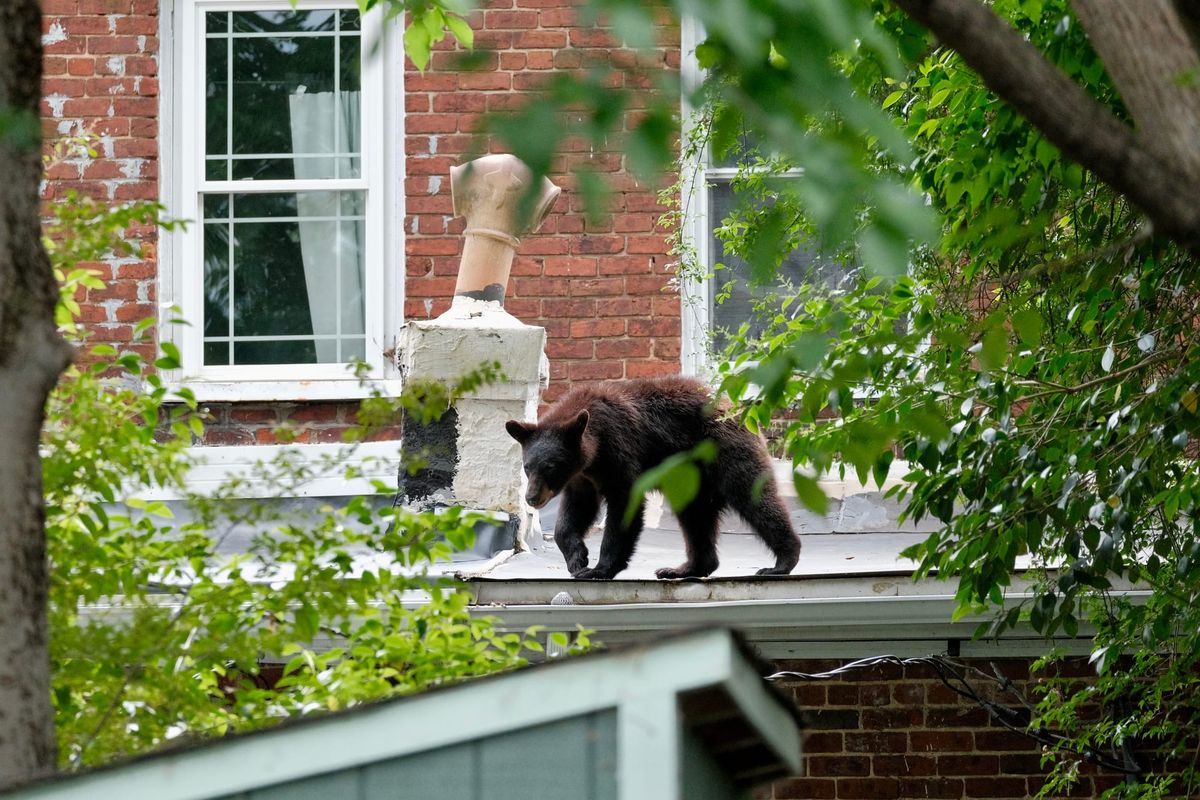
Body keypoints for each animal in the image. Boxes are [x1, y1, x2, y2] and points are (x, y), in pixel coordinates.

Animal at [505, 376, 801, 580]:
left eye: (551, 467)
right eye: (527, 467)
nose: (532, 498)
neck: (593, 451)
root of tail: (736, 409)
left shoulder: (620, 454)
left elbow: (624, 507)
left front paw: (599, 568)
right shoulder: (582, 479)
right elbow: (574, 513)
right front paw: (578, 558)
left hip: (727, 452)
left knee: (754, 497)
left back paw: (781, 562)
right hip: (691, 480)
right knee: (696, 517)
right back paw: (683, 568)